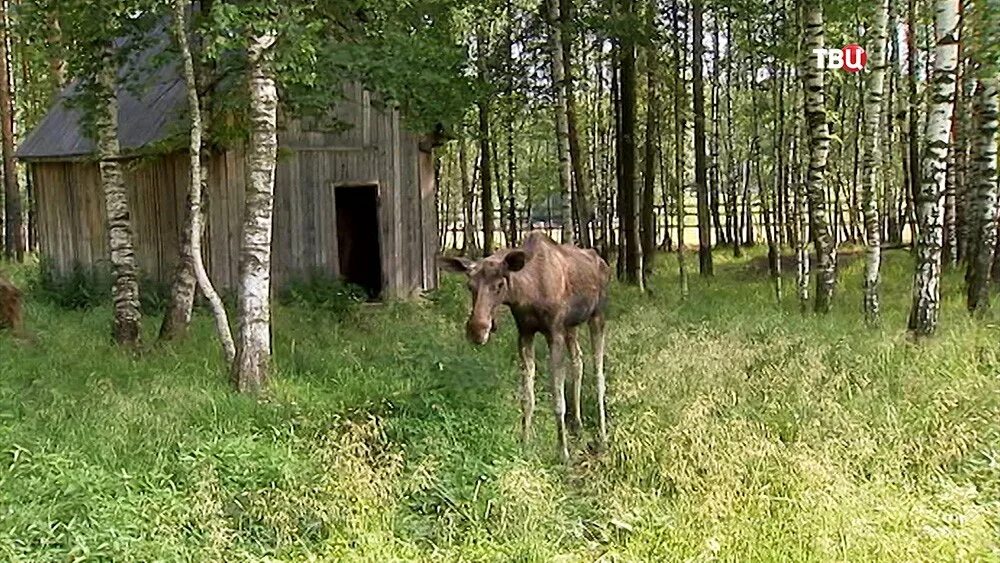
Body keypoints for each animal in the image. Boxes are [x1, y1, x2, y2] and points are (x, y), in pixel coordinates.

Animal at [444, 230, 612, 462]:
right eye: (470, 286)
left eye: (500, 285)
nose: (477, 330)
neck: (527, 294)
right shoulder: (525, 332)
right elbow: (527, 397)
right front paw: (525, 444)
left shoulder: (554, 333)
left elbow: (558, 400)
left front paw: (563, 453)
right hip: (571, 326)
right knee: (578, 361)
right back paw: (578, 424)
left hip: (597, 316)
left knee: (599, 372)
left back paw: (603, 436)